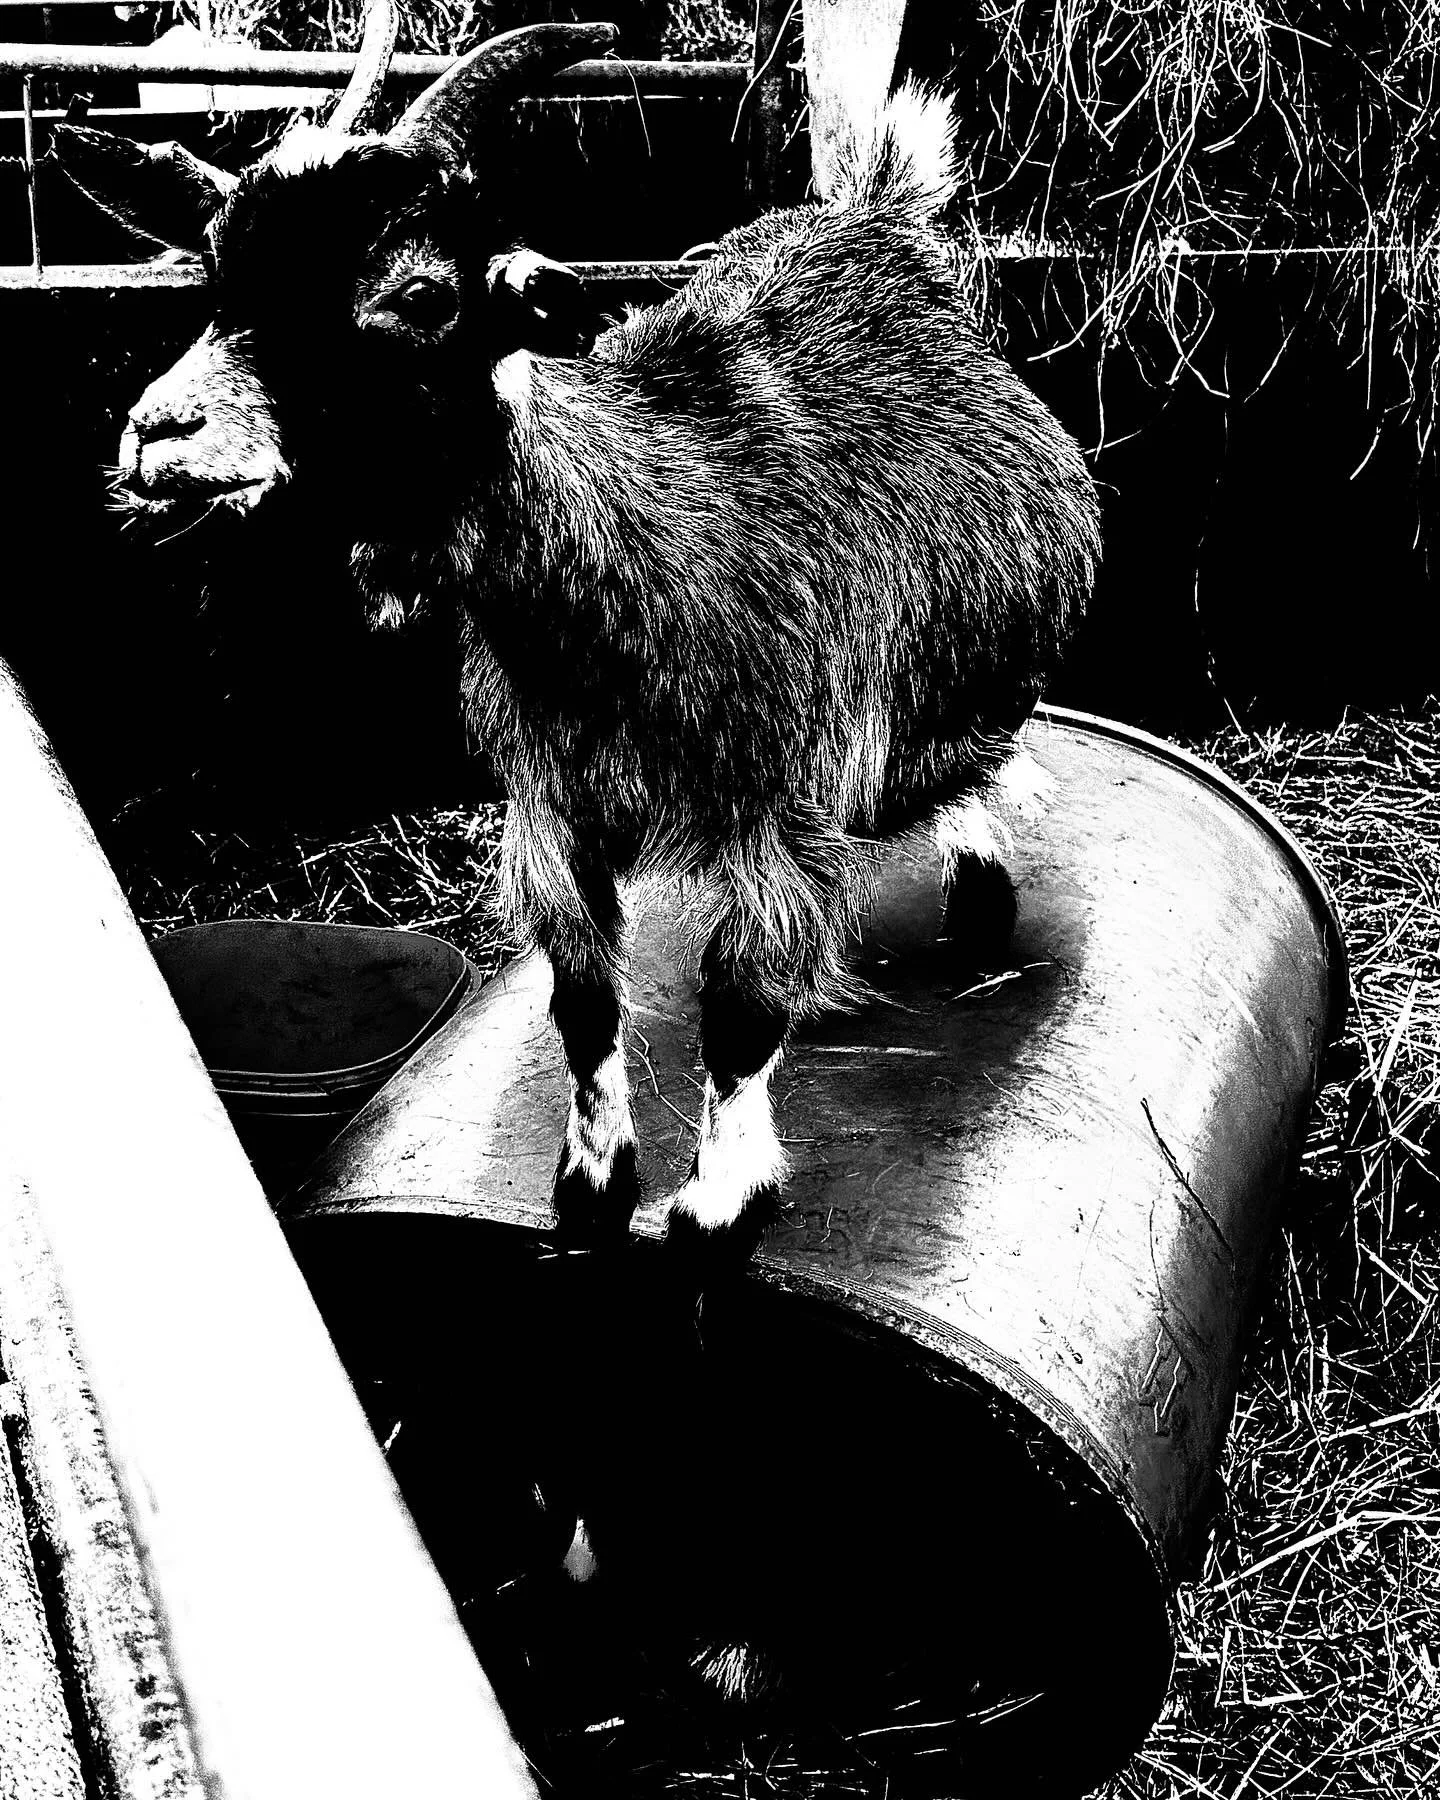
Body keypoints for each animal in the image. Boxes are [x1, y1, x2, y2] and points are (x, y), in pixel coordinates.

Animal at [56, 0, 1101, 1277]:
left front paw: (716, 1201)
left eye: (419, 294)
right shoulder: (553, 809)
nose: (160, 433)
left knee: (972, 751)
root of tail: (876, 215)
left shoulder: (776, 810)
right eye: (216, 277)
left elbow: (739, 1010)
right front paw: (593, 1183)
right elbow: (583, 998)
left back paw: (981, 876)